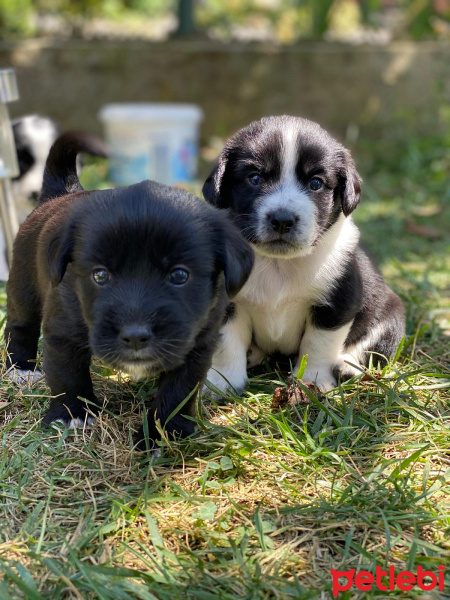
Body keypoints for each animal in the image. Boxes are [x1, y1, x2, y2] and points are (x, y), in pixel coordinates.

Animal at [5, 134, 255, 448]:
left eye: (180, 275)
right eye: (100, 275)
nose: (135, 336)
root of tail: (59, 192)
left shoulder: (197, 344)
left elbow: (178, 390)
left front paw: (164, 433)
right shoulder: (62, 332)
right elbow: (66, 375)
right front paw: (71, 414)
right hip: (23, 285)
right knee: (19, 326)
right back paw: (21, 369)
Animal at [202, 116, 406, 396]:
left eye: (316, 183)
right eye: (254, 178)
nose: (282, 220)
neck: (278, 264)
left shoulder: (336, 304)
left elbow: (318, 345)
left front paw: (313, 380)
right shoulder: (224, 302)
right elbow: (226, 343)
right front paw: (223, 381)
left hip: (392, 315)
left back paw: (347, 366)